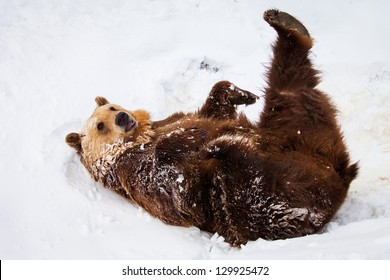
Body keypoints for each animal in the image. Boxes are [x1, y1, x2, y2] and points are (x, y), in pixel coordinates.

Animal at [65, 9, 358, 246]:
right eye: (100, 125)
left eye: (112, 107)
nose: (123, 117)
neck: (139, 138)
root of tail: (337, 172)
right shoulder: (136, 172)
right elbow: (168, 178)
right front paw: (191, 139)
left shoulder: (176, 118)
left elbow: (212, 107)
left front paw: (242, 94)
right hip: (255, 197)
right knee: (254, 192)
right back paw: (223, 146)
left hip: (296, 130)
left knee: (293, 87)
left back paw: (284, 24)